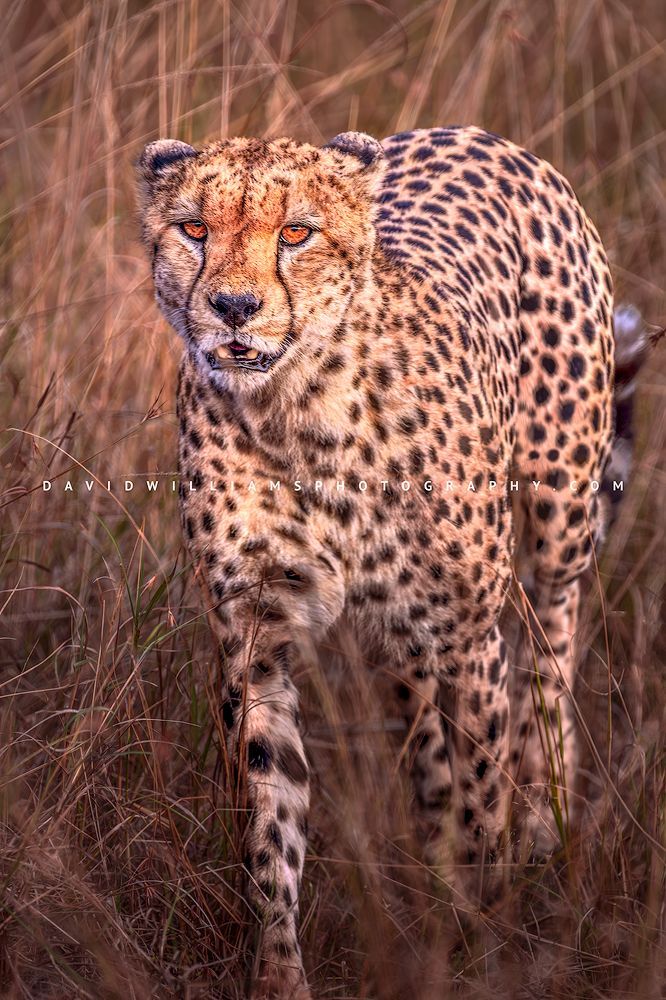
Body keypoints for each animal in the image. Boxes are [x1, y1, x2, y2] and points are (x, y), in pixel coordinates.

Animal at [137, 124, 623, 998]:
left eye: (296, 233)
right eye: (193, 229)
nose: (234, 308)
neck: (298, 409)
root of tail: (474, 132)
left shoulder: (470, 638)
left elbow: (483, 791)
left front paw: (483, 938)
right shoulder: (256, 639)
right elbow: (270, 820)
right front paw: (279, 973)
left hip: (561, 513)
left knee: (553, 640)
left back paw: (545, 820)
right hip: (397, 633)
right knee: (421, 740)